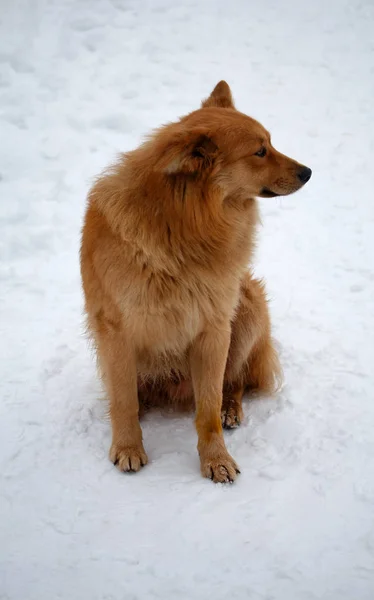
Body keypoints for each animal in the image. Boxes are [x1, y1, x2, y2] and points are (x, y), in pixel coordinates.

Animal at [80, 81, 312, 482]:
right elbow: (123, 401)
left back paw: (231, 408)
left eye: (270, 143)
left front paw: (216, 458)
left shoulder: (213, 329)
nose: (308, 172)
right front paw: (128, 446)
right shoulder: (116, 330)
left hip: (248, 305)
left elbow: (208, 407)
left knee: (235, 382)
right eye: (260, 151)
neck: (183, 224)